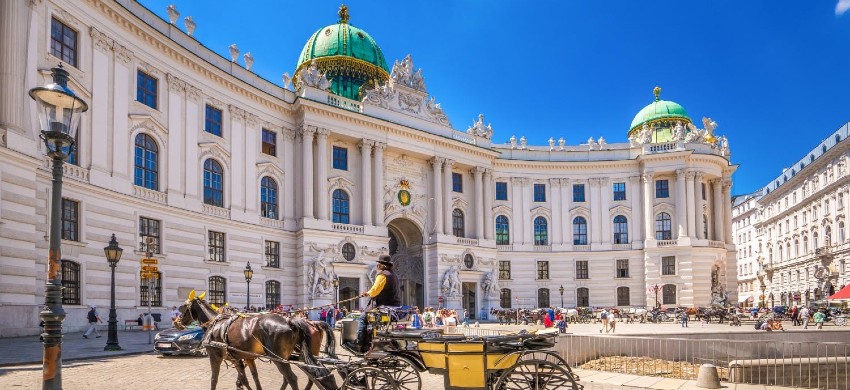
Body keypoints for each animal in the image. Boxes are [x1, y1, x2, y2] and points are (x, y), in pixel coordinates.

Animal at [174, 292, 336, 390]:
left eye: (184, 308)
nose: (176, 322)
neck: (215, 323)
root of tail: (290, 320)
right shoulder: (242, 358)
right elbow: (251, 378)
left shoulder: (215, 356)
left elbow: (214, 379)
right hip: (297, 356)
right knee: (315, 375)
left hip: (279, 358)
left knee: (293, 378)